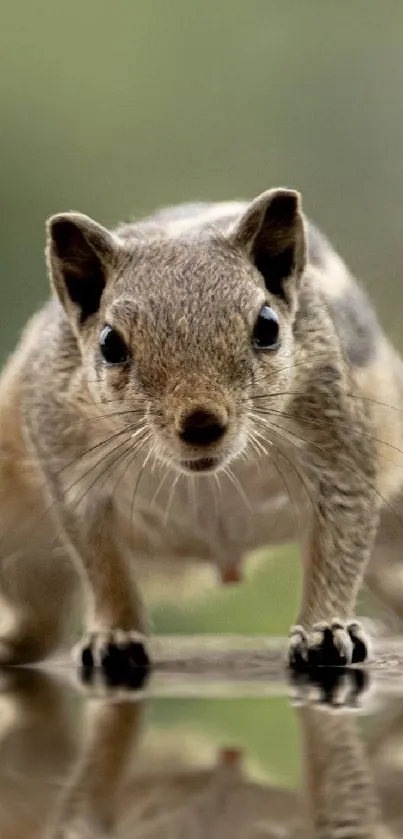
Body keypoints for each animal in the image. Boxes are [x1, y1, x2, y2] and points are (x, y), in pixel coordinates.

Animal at [0, 187, 403, 672]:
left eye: (268, 326)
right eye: (109, 343)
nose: (201, 422)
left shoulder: (337, 448)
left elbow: (340, 544)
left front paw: (326, 630)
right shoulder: (72, 475)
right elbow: (103, 567)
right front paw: (115, 636)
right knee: (40, 621)